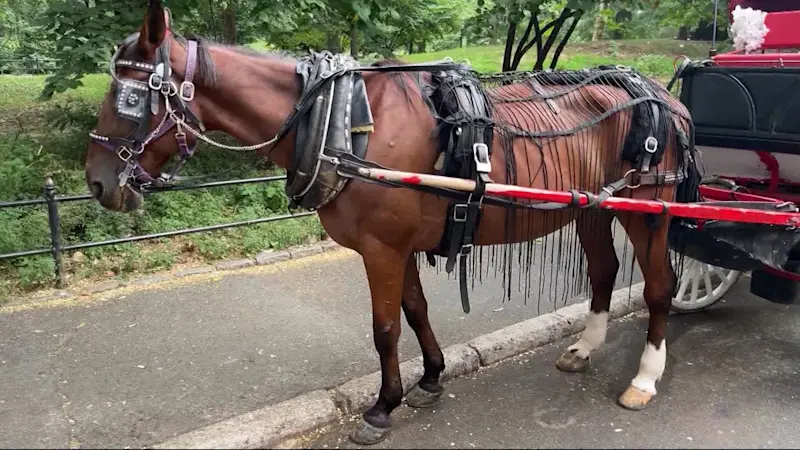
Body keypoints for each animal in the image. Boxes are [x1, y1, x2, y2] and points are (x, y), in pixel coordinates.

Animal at [84, 0, 701, 444]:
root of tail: (660, 94)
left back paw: (645, 376)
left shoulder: (381, 249)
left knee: (659, 286)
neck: (345, 122)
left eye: (130, 96)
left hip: (650, 211)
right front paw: (428, 379)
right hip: (596, 206)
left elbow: (384, 328)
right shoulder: (397, 247)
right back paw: (584, 348)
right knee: (603, 272)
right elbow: (415, 309)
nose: (96, 183)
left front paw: (382, 406)